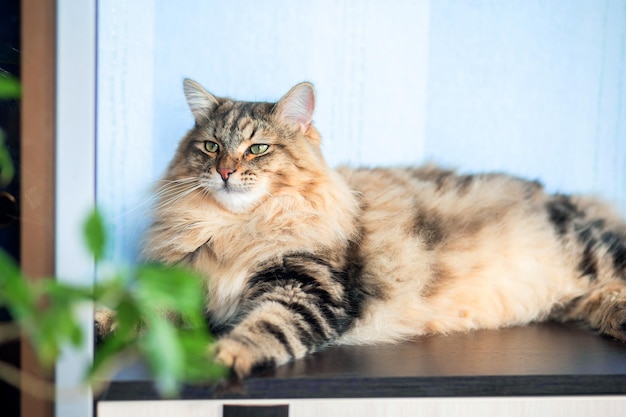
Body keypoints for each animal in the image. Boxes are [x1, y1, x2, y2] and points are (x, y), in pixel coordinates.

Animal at [130, 77, 620, 376]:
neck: (235, 228)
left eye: (258, 149)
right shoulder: (185, 286)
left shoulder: (308, 287)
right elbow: (142, 312)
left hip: (592, 250)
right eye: (211, 146)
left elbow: (265, 326)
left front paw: (226, 355)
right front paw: (110, 321)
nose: (225, 172)